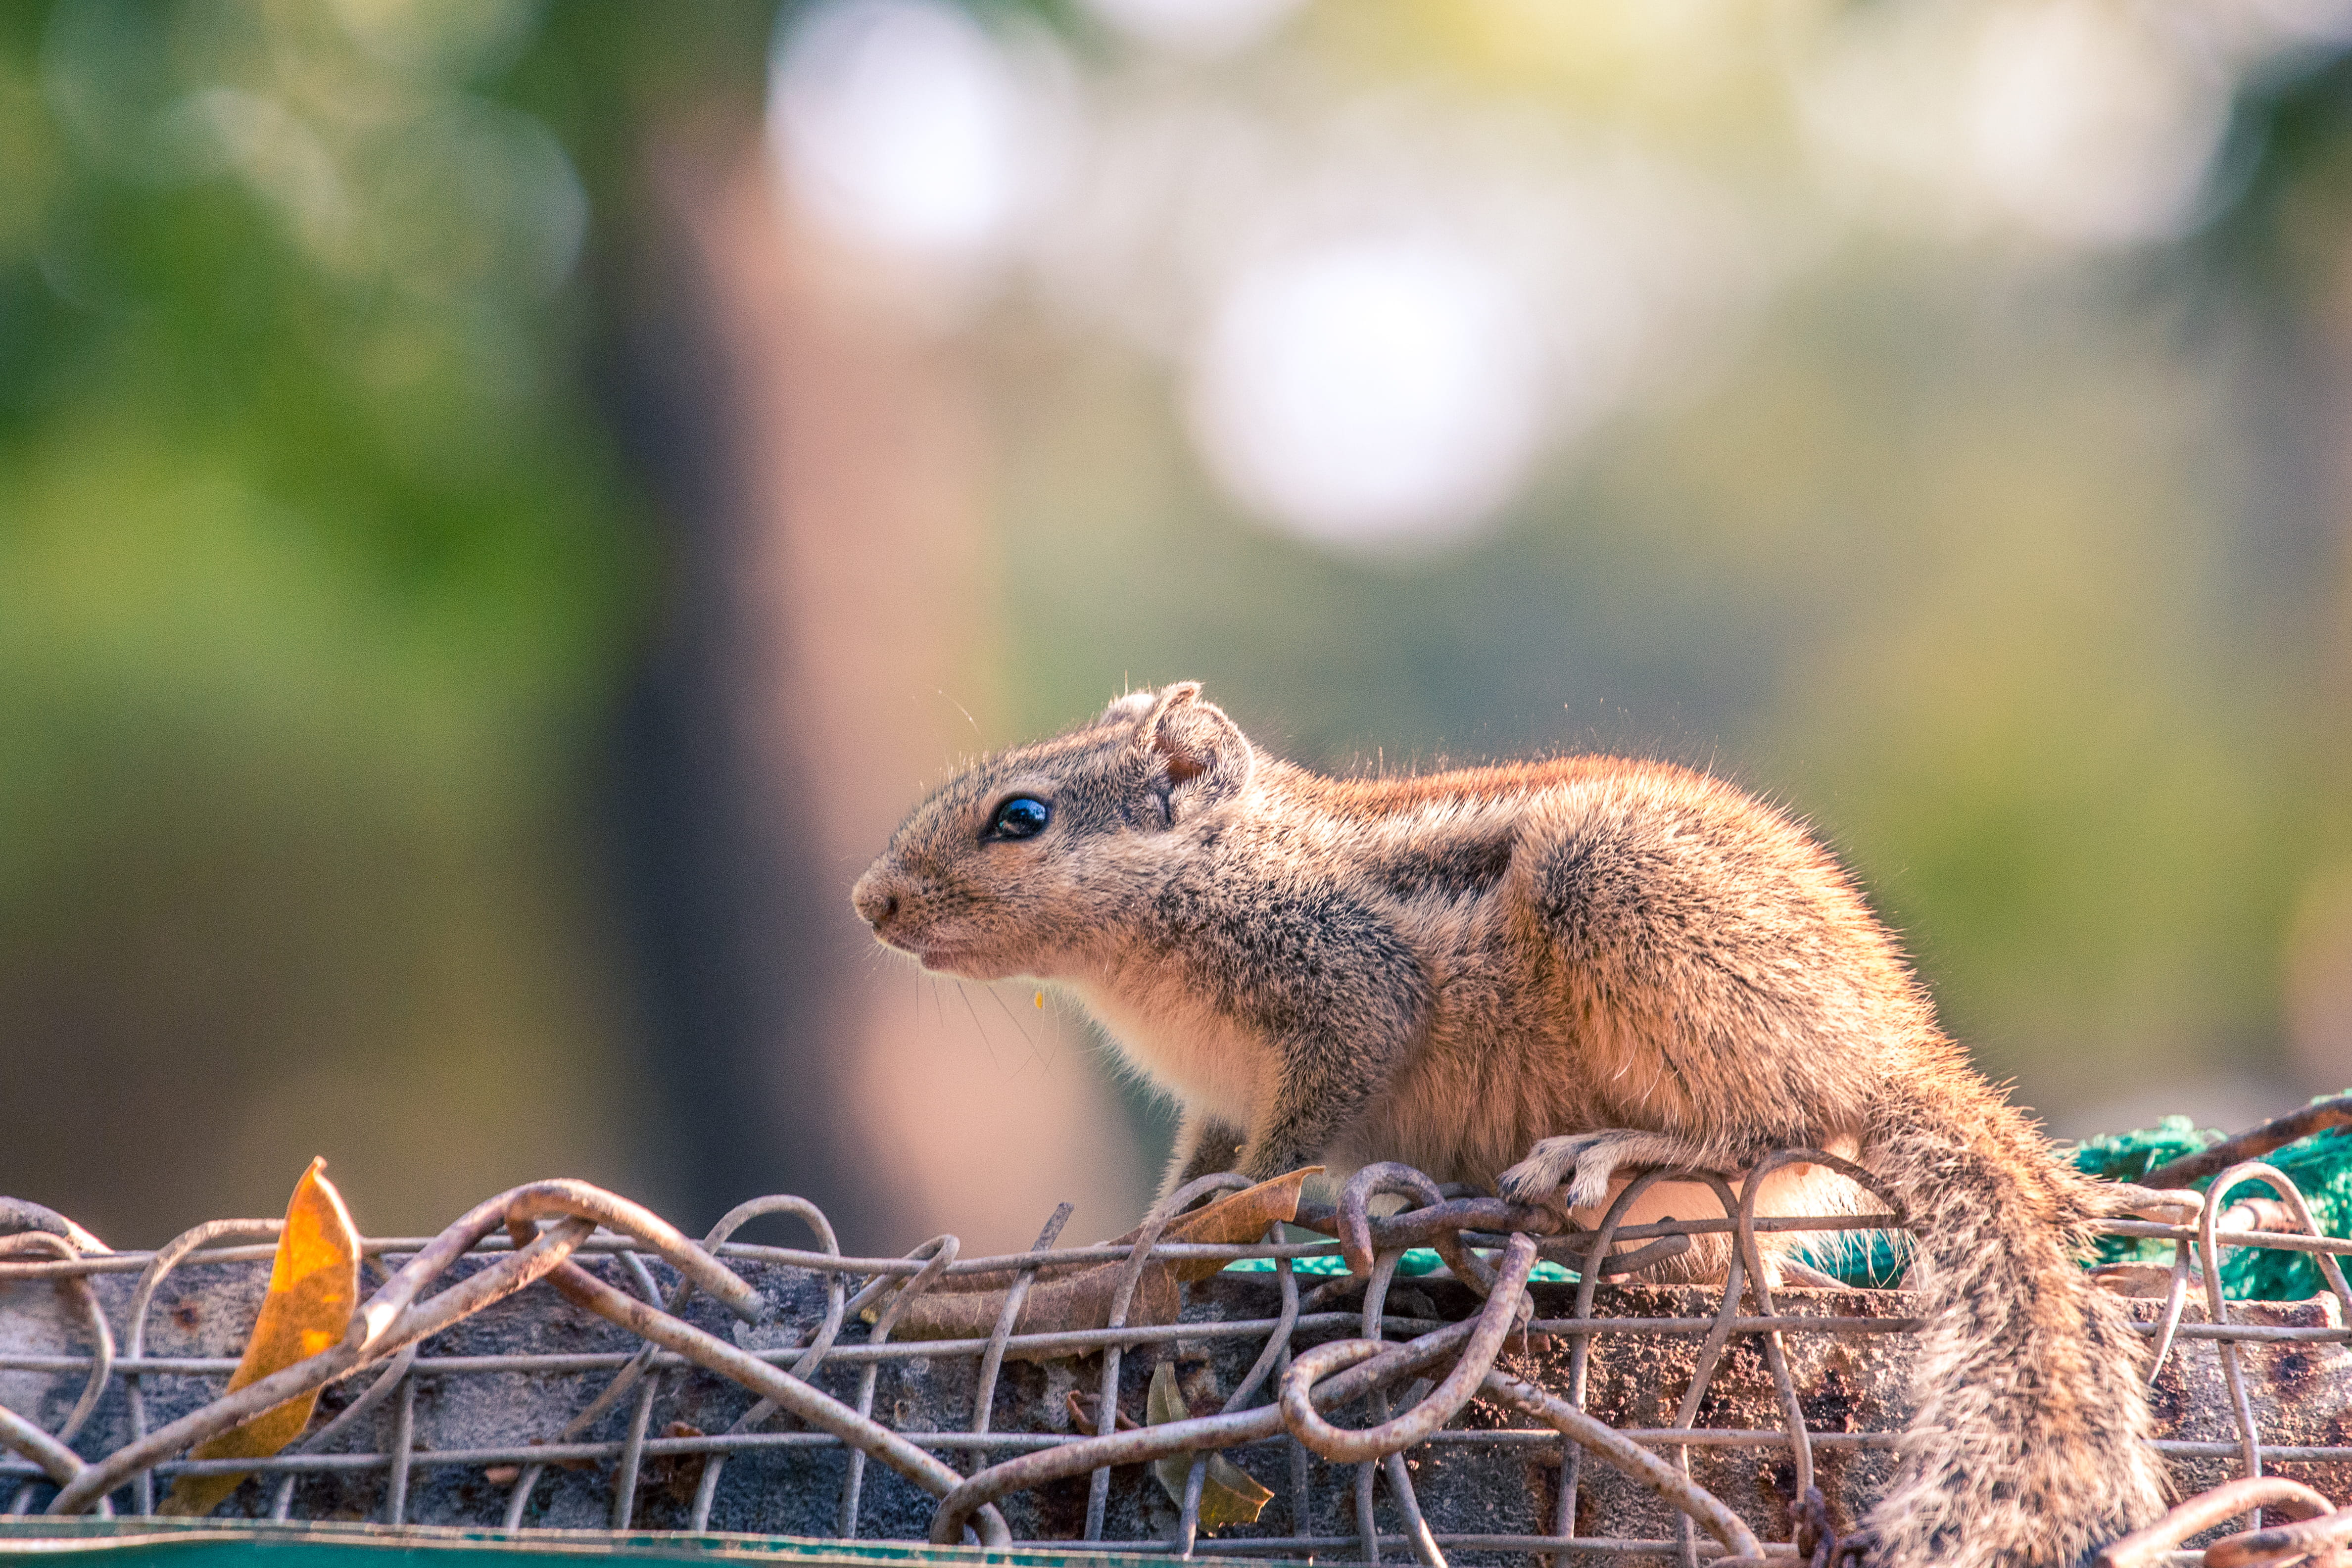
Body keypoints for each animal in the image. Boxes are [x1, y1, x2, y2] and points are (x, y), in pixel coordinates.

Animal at [851, 681, 2165, 1567]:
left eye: (1021, 817)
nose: (871, 902)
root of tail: (1905, 1050)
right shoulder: (1218, 1095)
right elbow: (1204, 1171)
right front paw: (1148, 1237)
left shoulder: (1346, 997)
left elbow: (1278, 1156)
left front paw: (1209, 1230)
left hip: (1622, 897)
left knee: (1777, 1124)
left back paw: (1610, 1149)